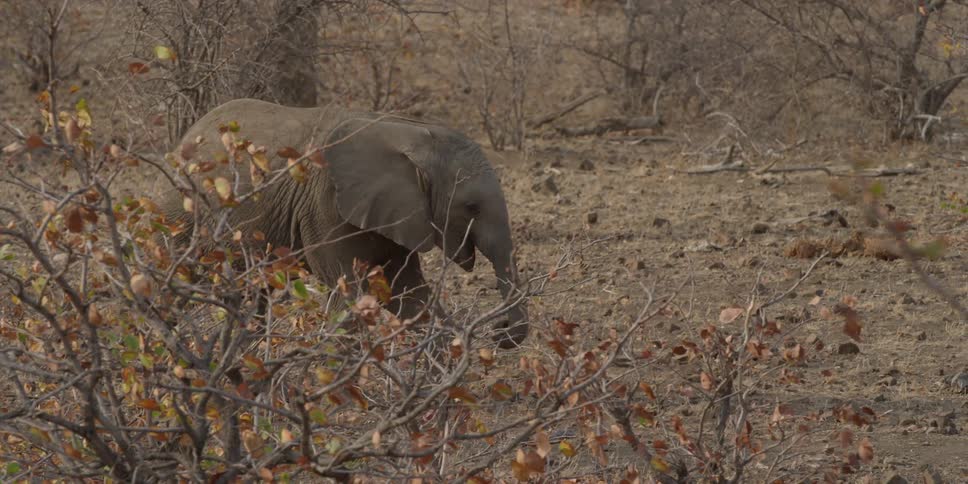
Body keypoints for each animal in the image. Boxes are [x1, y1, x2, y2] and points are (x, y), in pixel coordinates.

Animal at [159, 98, 528, 348]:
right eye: (471, 207)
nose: (500, 331)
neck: (411, 133)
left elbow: (408, 292)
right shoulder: (324, 204)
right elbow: (349, 292)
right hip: (180, 211)